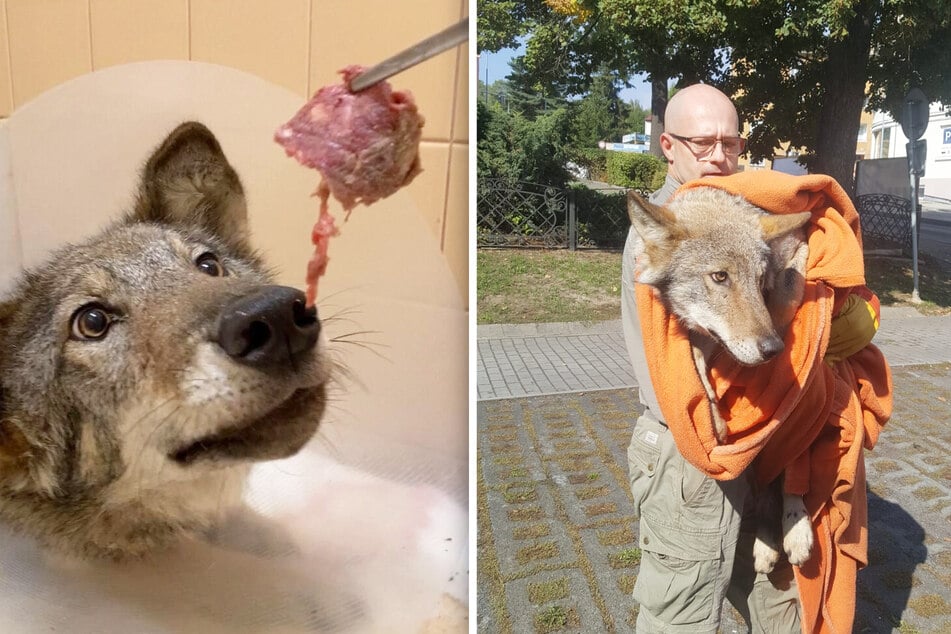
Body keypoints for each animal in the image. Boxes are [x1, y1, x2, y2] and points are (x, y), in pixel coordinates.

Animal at [628, 186, 816, 572]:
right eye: (719, 277)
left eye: (760, 282)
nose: (773, 348)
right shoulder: (690, 334)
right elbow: (696, 358)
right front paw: (713, 417)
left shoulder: (799, 254)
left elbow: (789, 289)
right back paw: (766, 546)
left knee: (792, 469)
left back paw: (795, 530)